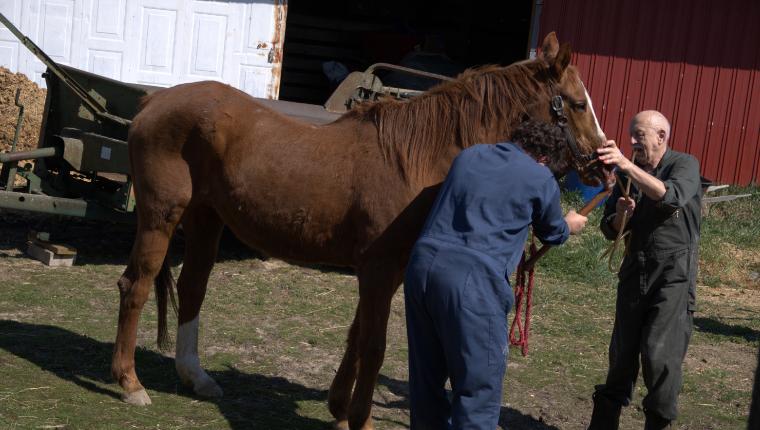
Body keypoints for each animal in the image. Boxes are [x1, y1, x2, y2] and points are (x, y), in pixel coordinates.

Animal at [113, 31, 608, 428]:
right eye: (577, 103)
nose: (604, 165)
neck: (413, 159)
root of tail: (153, 103)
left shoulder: (384, 273)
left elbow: (356, 336)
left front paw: (338, 408)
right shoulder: (379, 270)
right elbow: (373, 345)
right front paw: (361, 420)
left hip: (205, 219)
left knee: (193, 289)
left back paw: (195, 377)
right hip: (160, 216)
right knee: (136, 285)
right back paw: (130, 383)